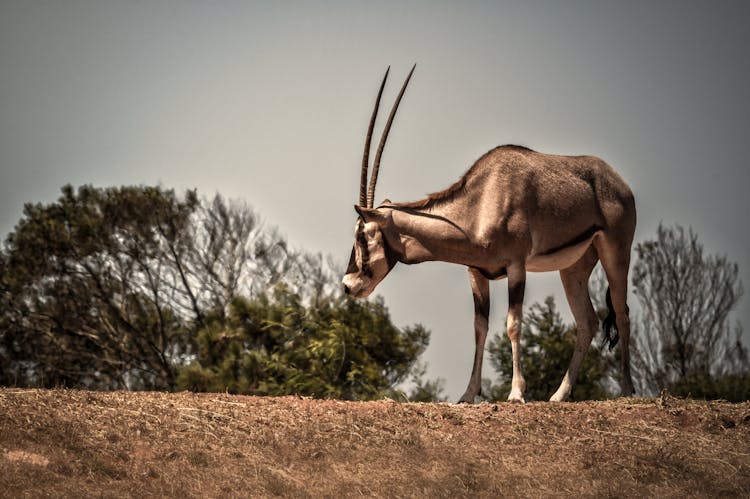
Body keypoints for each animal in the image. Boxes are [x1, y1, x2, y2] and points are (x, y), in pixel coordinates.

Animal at [344, 66, 636, 402]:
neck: (480, 202)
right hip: (574, 267)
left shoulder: (516, 267)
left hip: (616, 252)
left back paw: (628, 389)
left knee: (622, 313)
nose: (348, 286)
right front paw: (468, 394)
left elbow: (513, 324)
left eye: (362, 236)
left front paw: (516, 392)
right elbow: (479, 328)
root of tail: (618, 181)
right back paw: (559, 395)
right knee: (587, 321)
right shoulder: (476, 272)